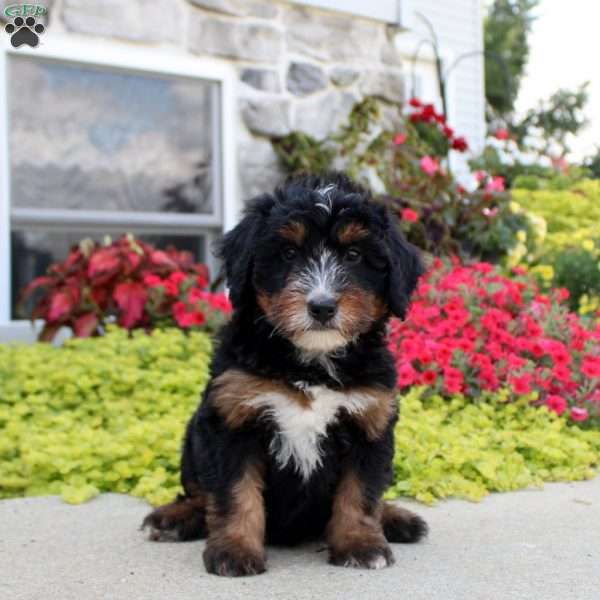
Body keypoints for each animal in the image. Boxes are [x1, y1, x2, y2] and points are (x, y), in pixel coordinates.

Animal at [144, 171, 428, 576]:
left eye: (354, 256)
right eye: (289, 254)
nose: (322, 306)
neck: (311, 364)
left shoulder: (369, 422)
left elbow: (360, 494)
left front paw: (360, 544)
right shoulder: (233, 420)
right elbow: (234, 494)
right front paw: (234, 550)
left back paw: (398, 519)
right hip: (193, 439)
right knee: (198, 494)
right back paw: (174, 518)